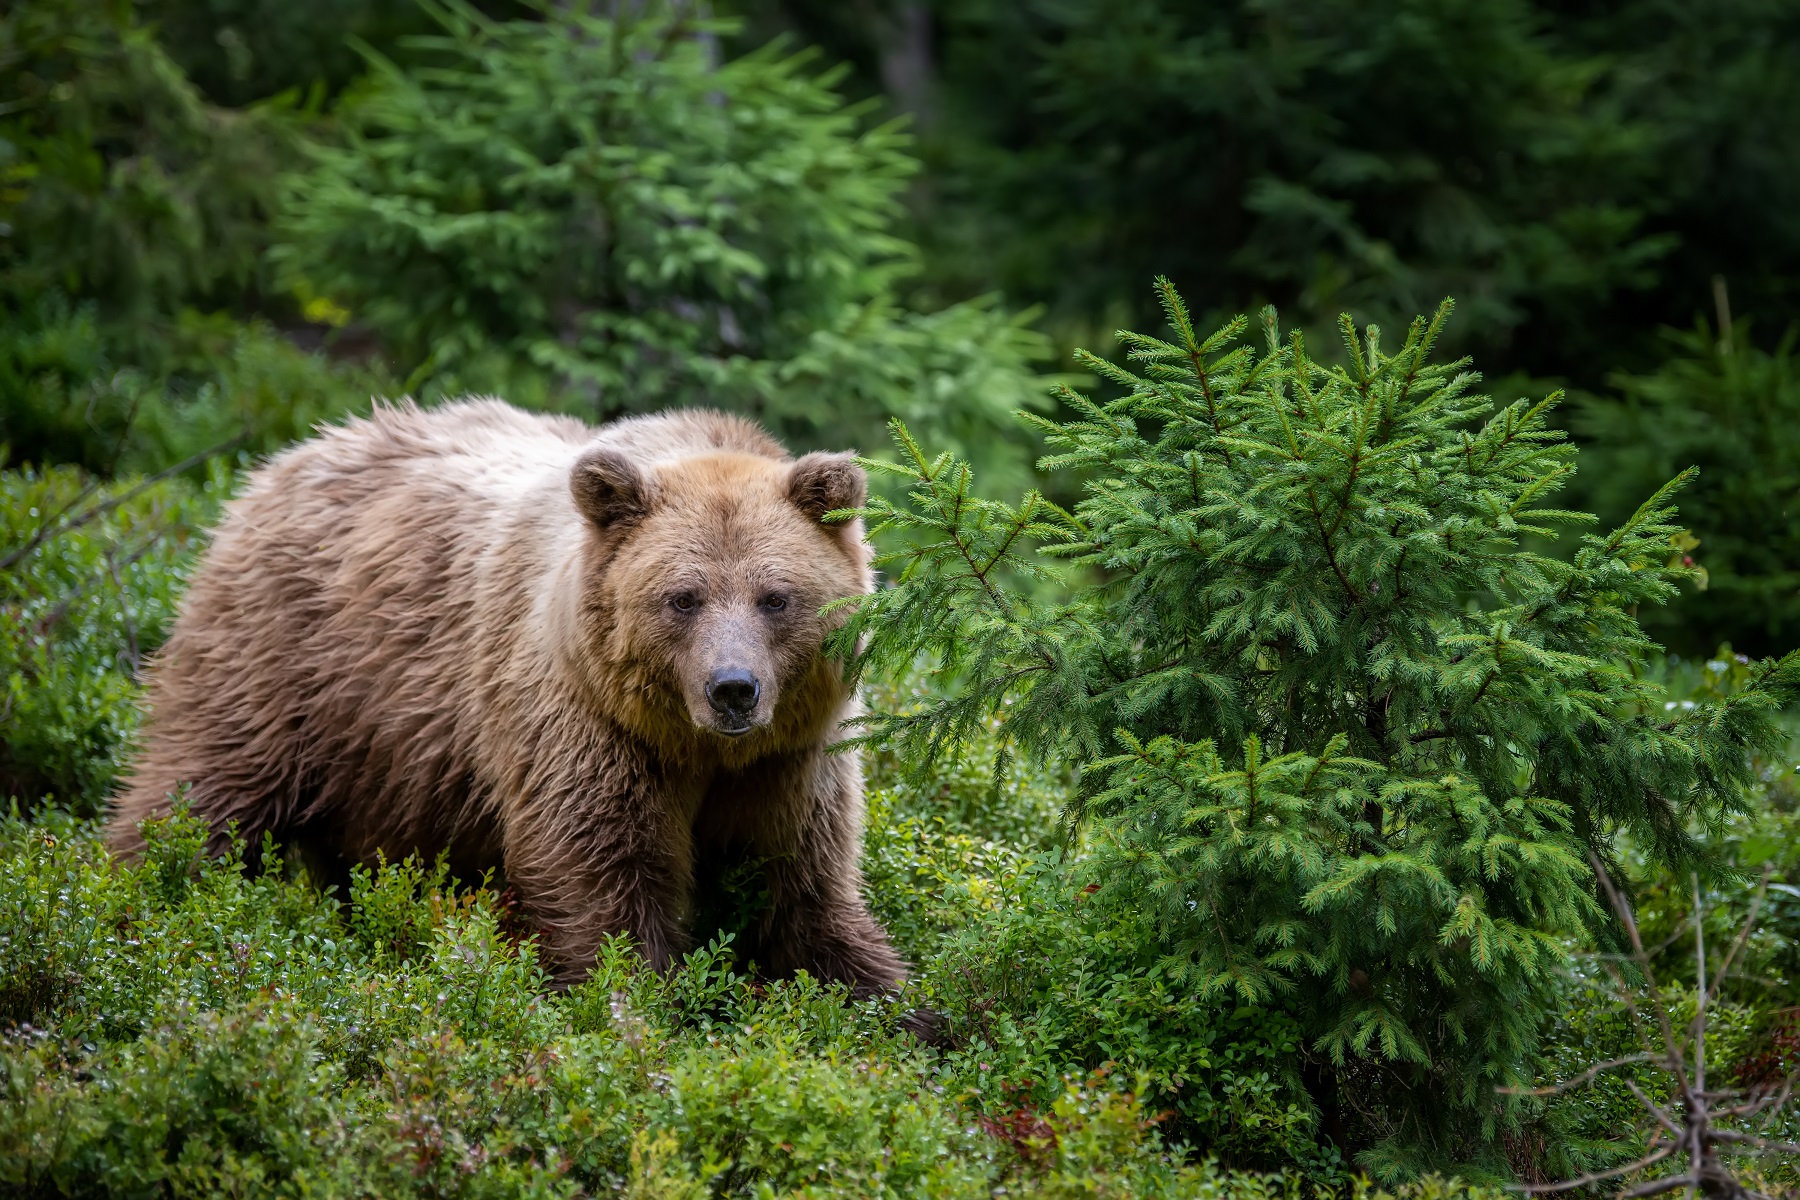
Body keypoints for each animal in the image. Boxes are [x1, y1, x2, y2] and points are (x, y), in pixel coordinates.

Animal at [107, 398, 906, 992]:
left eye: (776, 597)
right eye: (683, 597)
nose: (732, 690)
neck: (694, 747)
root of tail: (285, 459)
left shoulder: (792, 758)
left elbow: (801, 888)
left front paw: (892, 1001)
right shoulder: (584, 725)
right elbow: (600, 878)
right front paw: (632, 1002)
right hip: (288, 664)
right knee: (202, 787)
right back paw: (140, 896)